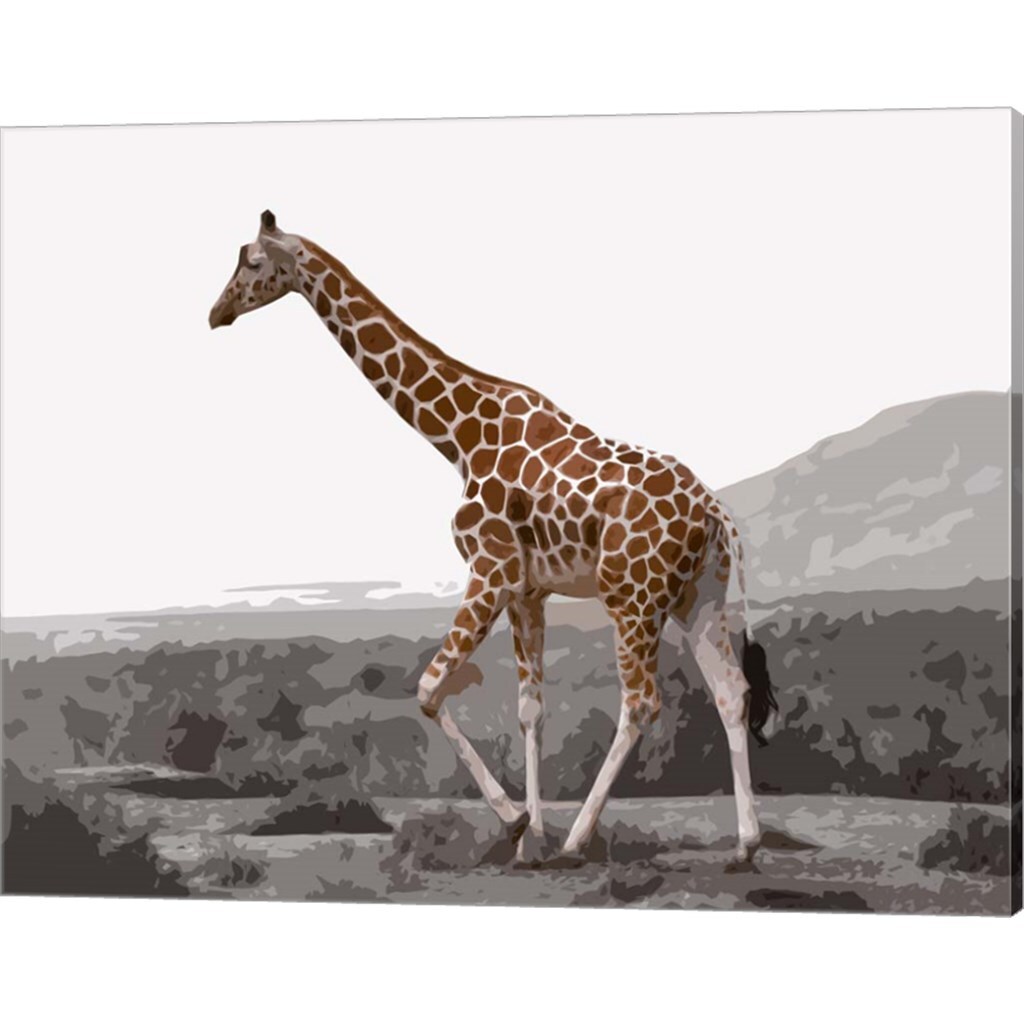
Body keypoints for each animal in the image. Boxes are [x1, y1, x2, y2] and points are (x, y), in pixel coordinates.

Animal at [209, 211, 779, 867]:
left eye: (252, 262)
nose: (216, 312)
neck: (458, 435)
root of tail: (716, 514)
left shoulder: (491, 570)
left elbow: (429, 689)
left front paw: (517, 822)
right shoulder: (528, 590)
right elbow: (531, 710)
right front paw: (530, 842)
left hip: (632, 600)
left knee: (641, 703)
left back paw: (580, 840)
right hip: (697, 599)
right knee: (732, 692)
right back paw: (745, 843)